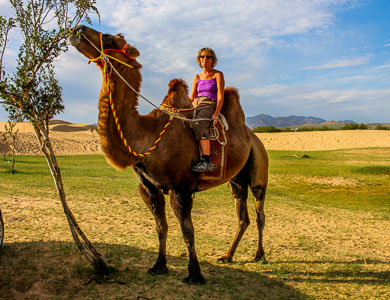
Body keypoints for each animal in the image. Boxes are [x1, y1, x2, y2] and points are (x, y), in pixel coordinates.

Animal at [69, 25, 268, 284]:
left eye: (111, 38)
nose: (77, 29)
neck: (148, 135)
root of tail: (252, 136)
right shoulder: (149, 188)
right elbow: (160, 228)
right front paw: (159, 265)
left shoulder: (180, 187)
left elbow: (188, 231)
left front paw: (195, 274)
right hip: (236, 179)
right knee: (242, 214)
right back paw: (228, 255)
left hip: (258, 165)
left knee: (259, 210)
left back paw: (259, 255)